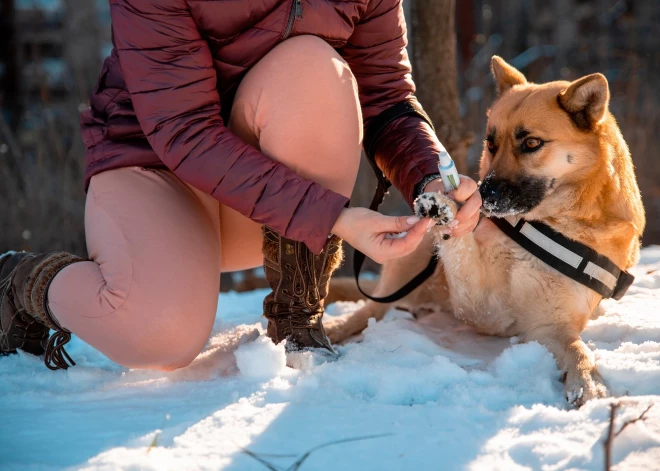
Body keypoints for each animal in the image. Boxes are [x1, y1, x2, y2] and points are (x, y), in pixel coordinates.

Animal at [324, 57, 644, 408]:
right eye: (492, 143)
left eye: (531, 143)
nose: (482, 195)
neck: (544, 225)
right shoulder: (481, 306)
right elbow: (462, 246)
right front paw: (445, 206)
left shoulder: (547, 325)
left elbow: (578, 351)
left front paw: (587, 382)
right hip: (411, 267)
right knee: (370, 309)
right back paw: (332, 328)